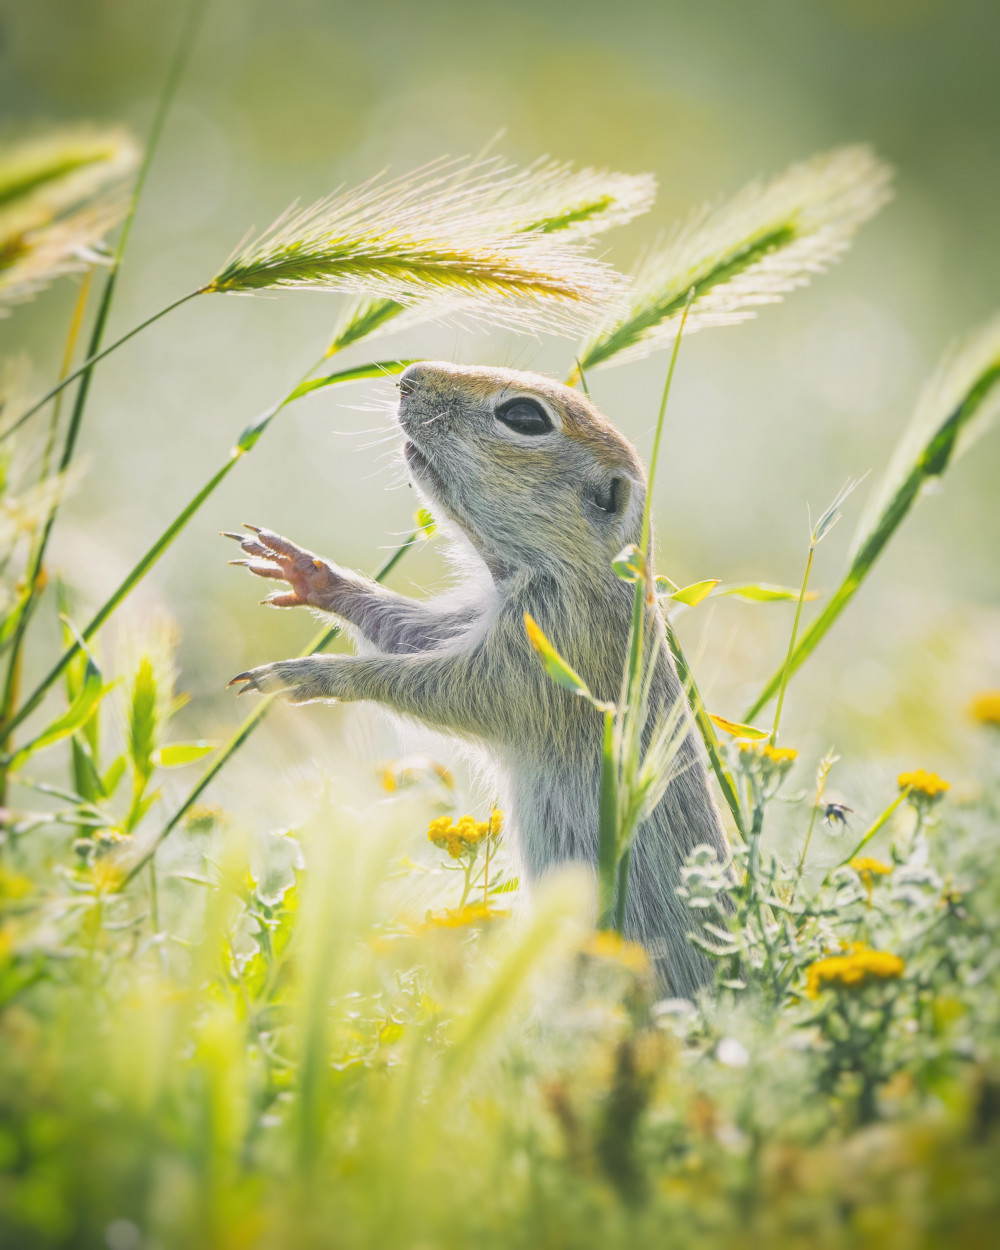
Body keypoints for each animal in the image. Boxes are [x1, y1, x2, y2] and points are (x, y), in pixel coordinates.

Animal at [228, 362, 725, 995]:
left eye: (524, 416)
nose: (408, 376)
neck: (581, 573)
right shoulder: (471, 619)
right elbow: (407, 631)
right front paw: (309, 572)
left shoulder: (545, 650)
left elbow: (451, 689)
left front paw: (311, 673)